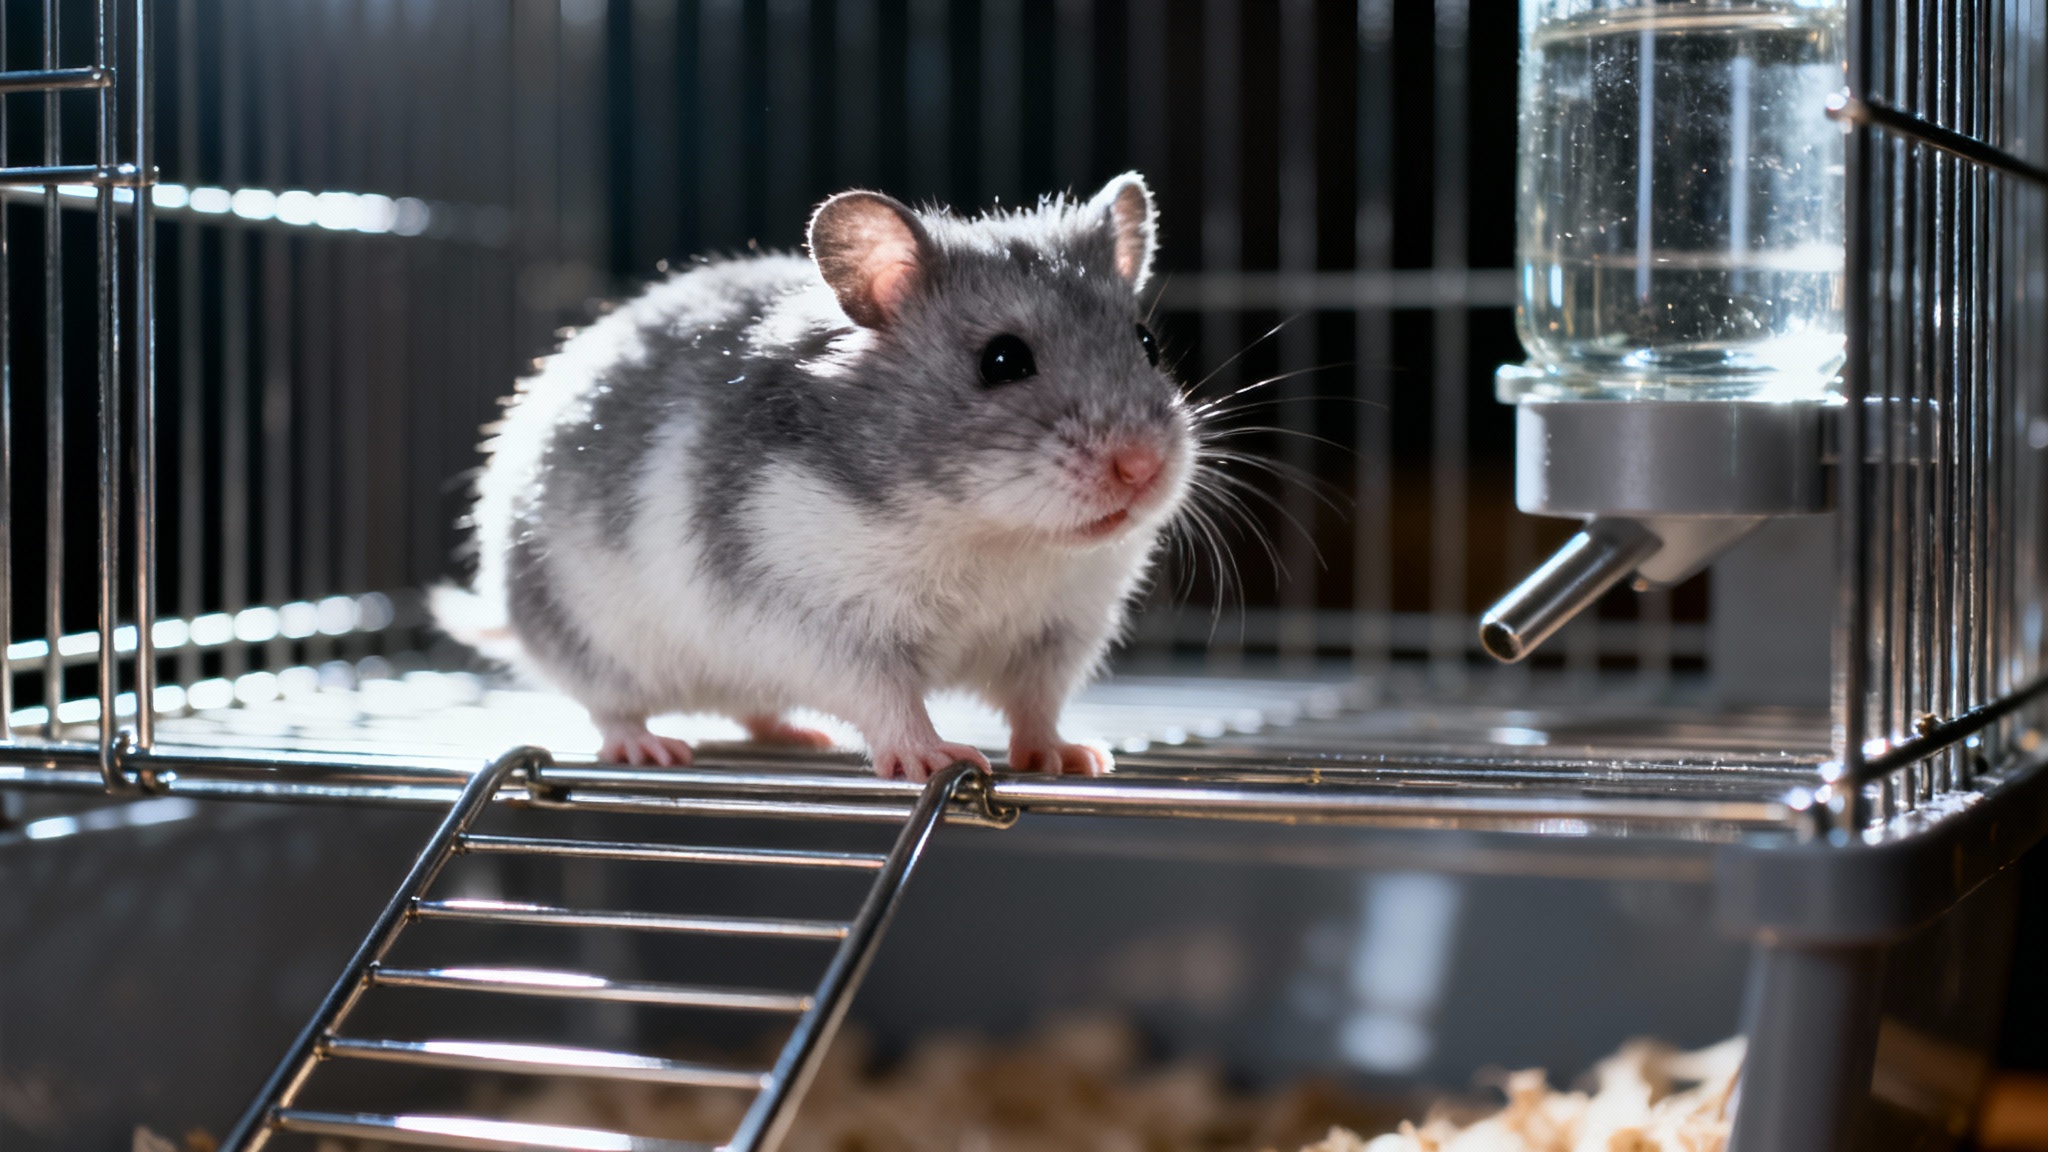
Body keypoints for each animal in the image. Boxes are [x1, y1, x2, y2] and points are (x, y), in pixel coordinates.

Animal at [433, 173, 1193, 781]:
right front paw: (933, 760)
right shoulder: (820, 620)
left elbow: (1037, 705)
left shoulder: (1060, 629)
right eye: (1003, 361)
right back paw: (653, 749)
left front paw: (1075, 758)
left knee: (751, 709)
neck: (991, 535)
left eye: (1147, 346)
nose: (1142, 466)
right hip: (591, 641)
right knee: (609, 707)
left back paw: (801, 734)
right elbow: (888, 699)